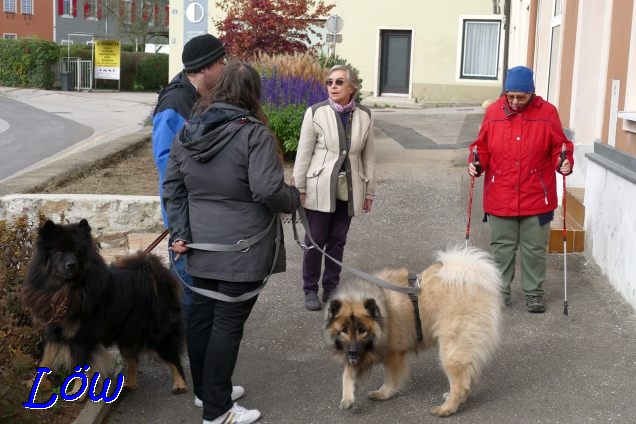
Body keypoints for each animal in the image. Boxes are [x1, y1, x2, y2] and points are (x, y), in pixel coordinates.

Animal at [22, 220, 186, 396]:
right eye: (59, 251)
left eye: (76, 251)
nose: (71, 265)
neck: (65, 290)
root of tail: (156, 276)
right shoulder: (54, 331)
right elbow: (45, 360)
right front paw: (33, 382)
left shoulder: (83, 337)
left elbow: (80, 368)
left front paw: (77, 393)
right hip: (127, 336)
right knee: (133, 360)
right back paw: (129, 384)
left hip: (155, 333)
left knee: (173, 359)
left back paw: (180, 384)